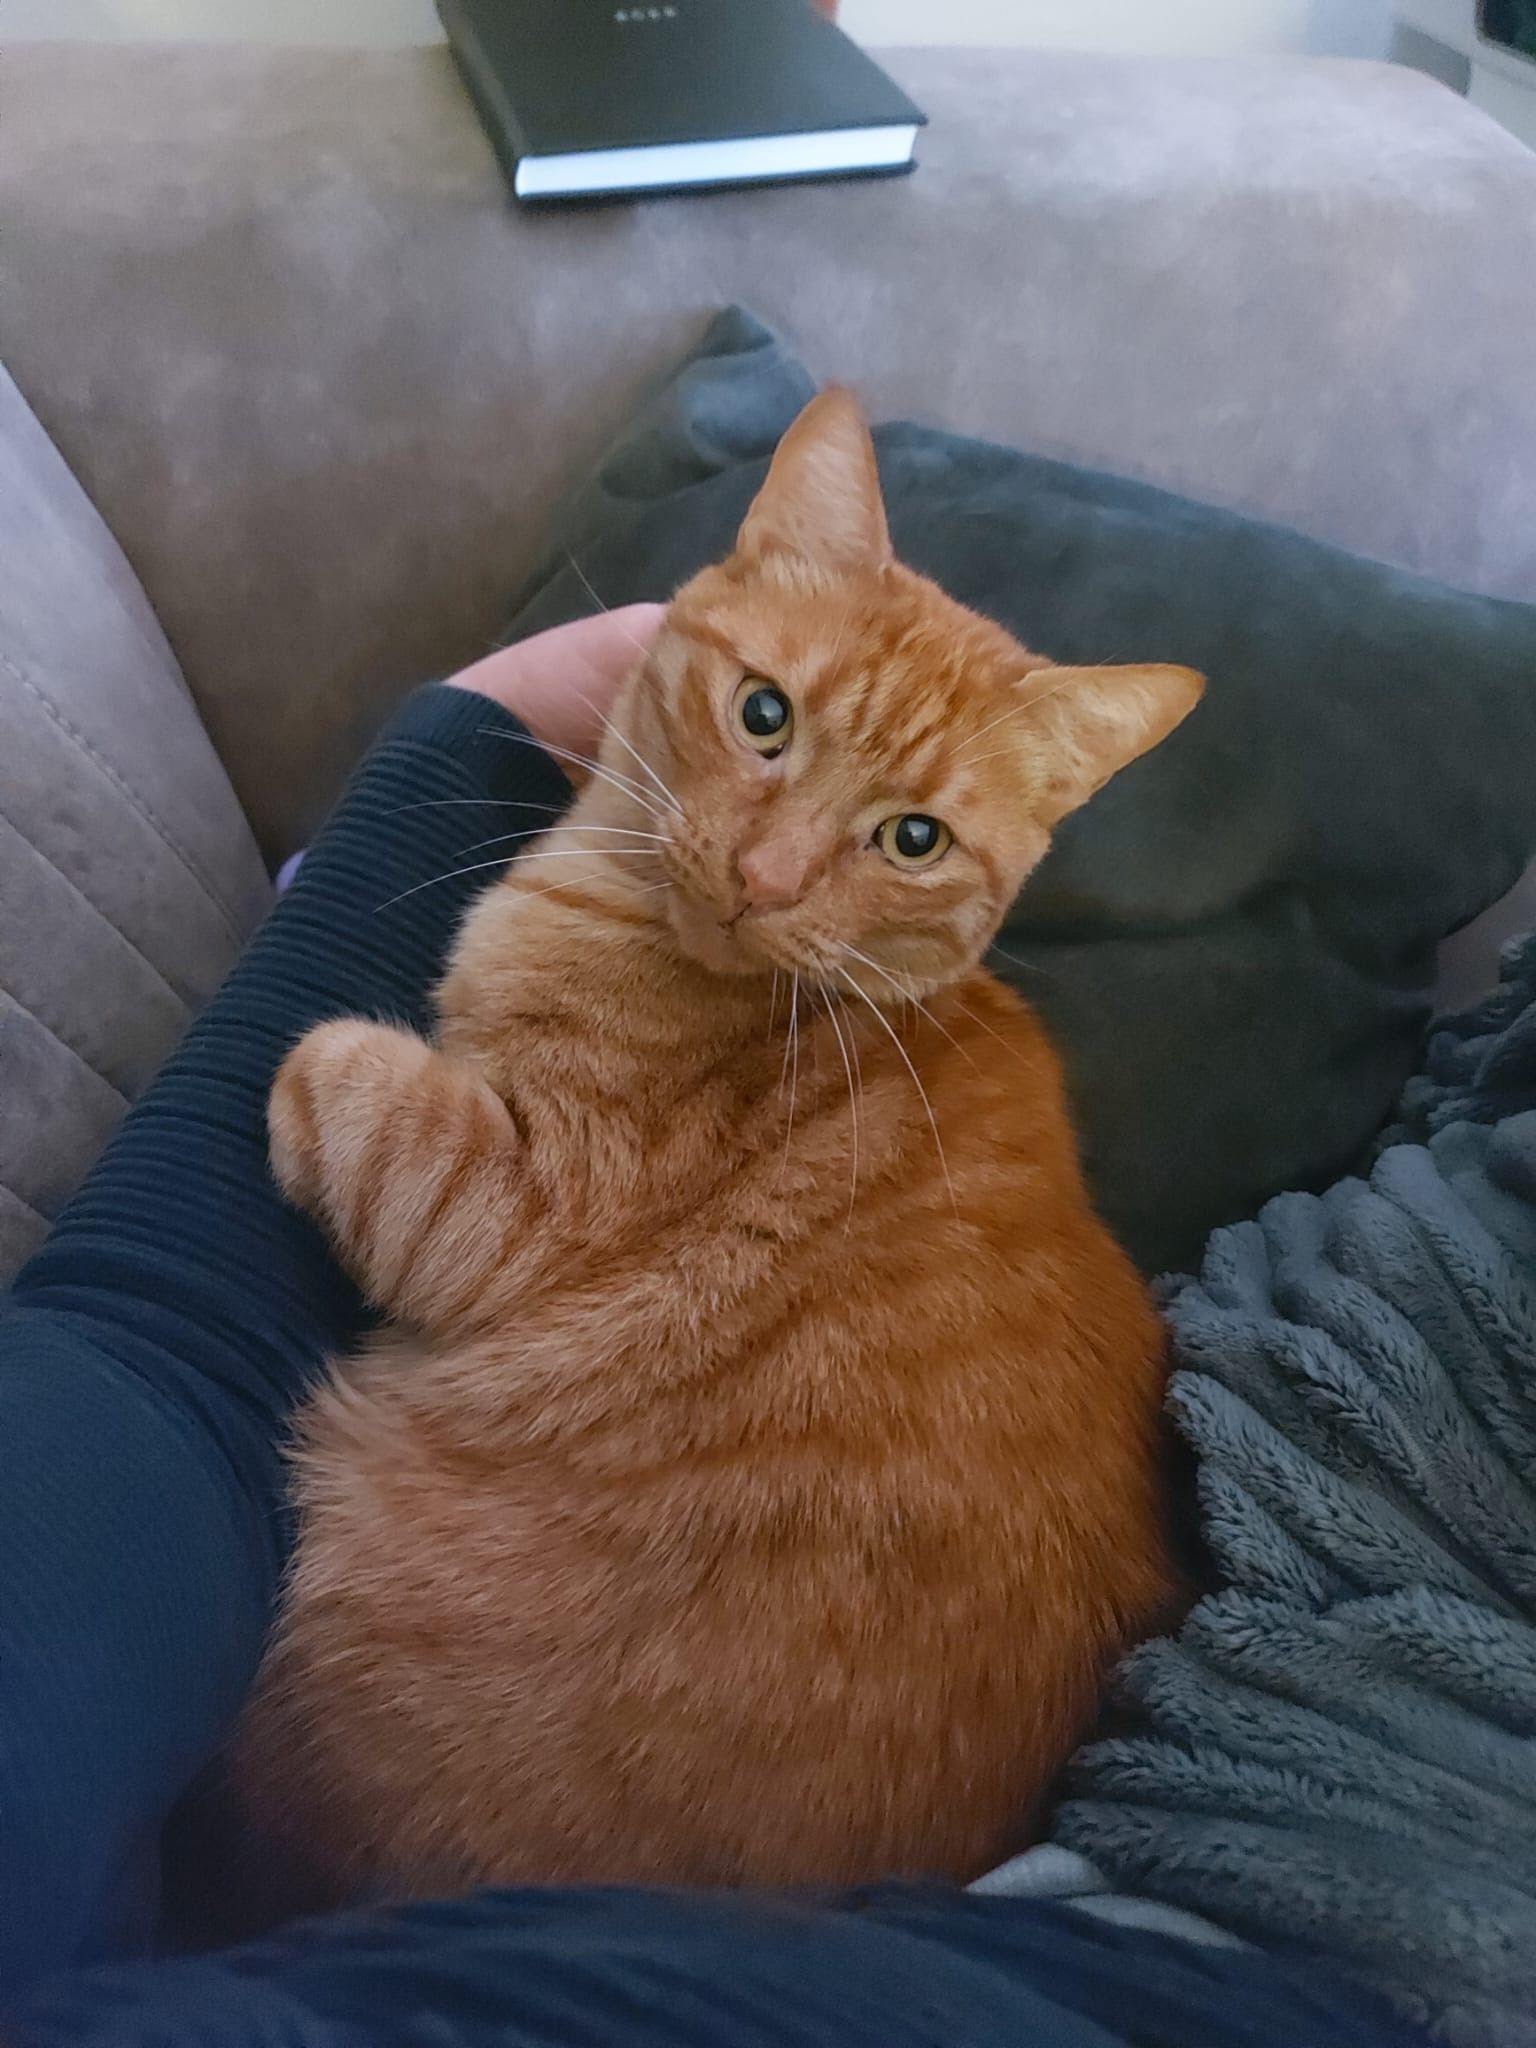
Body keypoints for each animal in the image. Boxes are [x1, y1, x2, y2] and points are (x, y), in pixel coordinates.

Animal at [239, 389, 1203, 1904]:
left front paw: (315, 1052)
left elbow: (337, 1073)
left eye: (912, 838)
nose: (766, 881)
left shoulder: (503, 1213)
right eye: (765, 716)